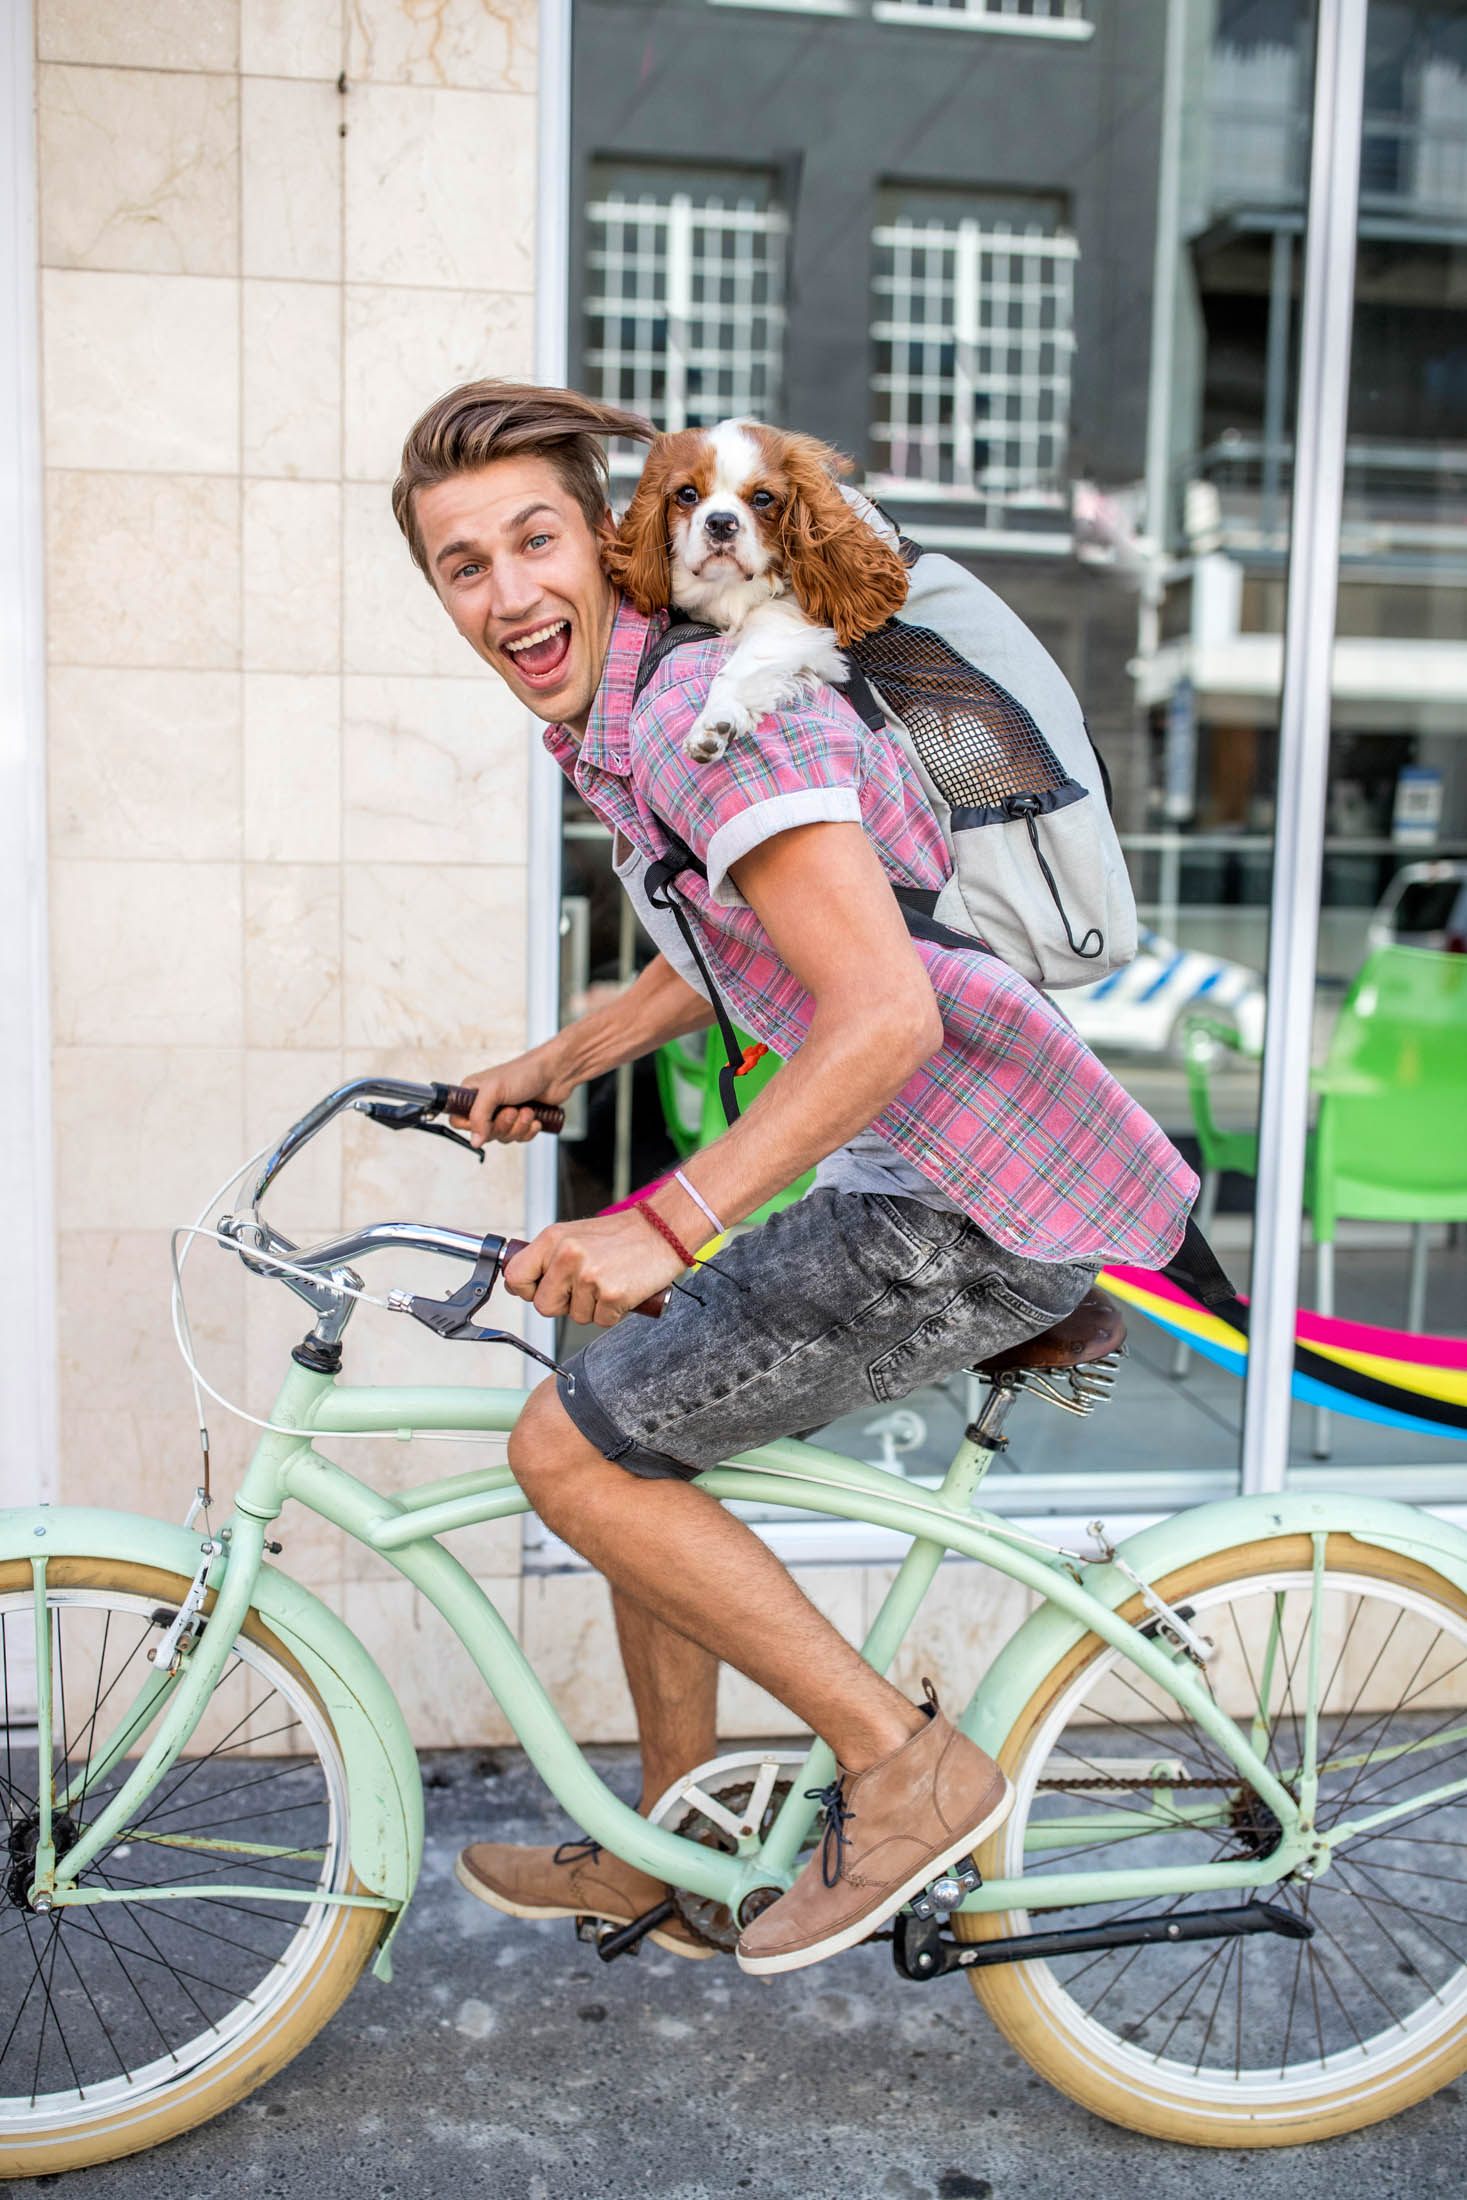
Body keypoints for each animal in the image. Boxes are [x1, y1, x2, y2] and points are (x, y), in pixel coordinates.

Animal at [607, 420, 906, 765]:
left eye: (763, 498)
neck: (727, 587)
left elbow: (739, 668)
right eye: (687, 494)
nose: (721, 522)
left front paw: (715, 720)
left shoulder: (790, 622)